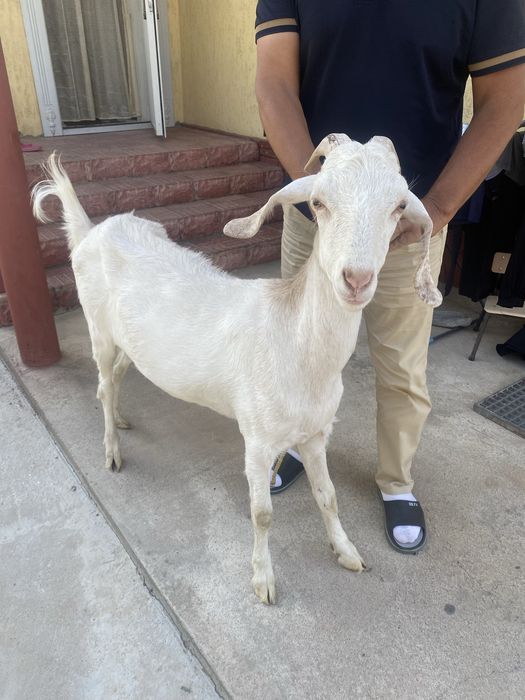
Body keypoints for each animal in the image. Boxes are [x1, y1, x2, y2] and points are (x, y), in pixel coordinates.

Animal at [32, 135, 441, 604]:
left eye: (398, 206)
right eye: (317, 202)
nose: (356, 279)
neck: (296, 348)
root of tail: (91, 231)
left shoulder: (316, 433)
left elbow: (329, 496)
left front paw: (347, 552)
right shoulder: (258, 438)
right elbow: (262, 512)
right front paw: (264, 581)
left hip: (132, 342)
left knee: (116, 376)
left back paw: (120, 420)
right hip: (97, 327)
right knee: (102, 384)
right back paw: (112, 451)